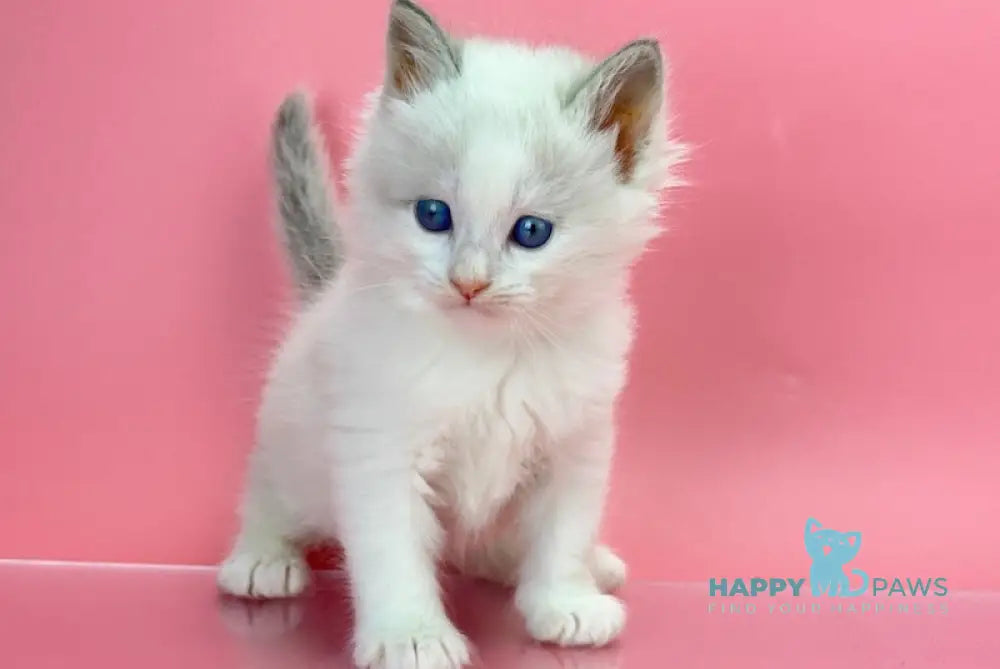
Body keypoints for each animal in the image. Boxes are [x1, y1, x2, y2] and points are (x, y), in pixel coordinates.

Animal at [219, 1, 688, 668]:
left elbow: (564, 532)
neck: (491, 356)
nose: (469, 283)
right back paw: (261, 558)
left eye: (532, 231)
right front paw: (410, 635)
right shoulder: (379, 447)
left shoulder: (577, 443)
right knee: (267, 490)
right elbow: (392, 551)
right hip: (292, 446)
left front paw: (565, 601)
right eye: (432, 215)